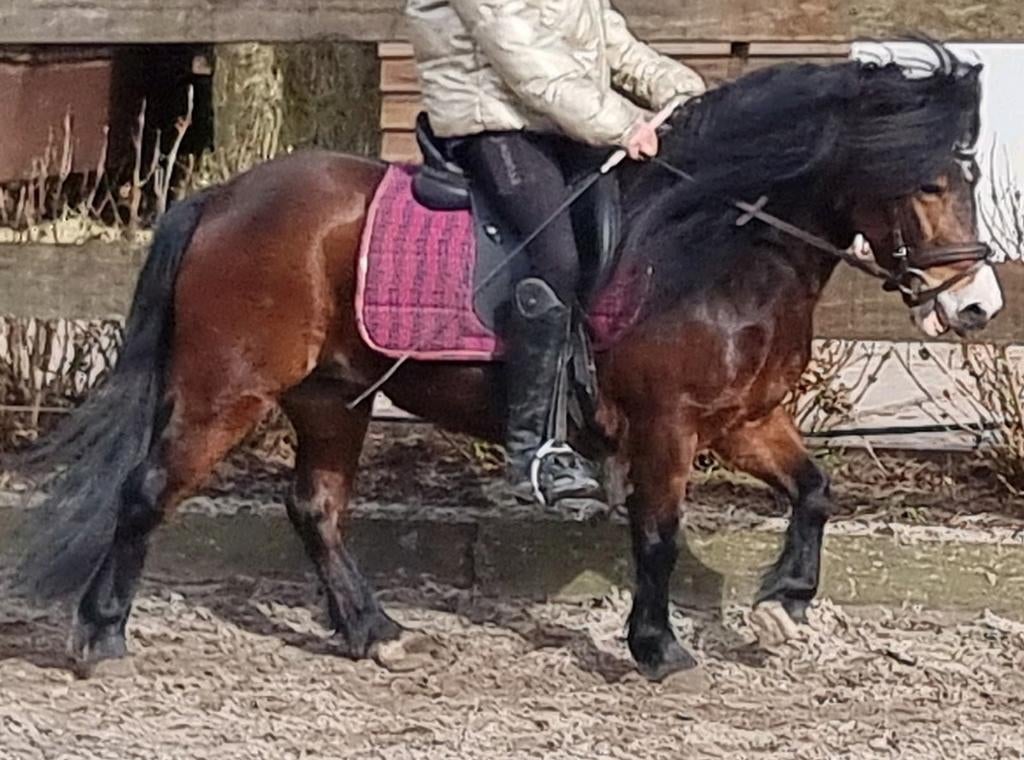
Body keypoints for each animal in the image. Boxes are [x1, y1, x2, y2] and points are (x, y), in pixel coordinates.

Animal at [8, 44, 1004, 682]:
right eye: (926, 182)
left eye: (967, 176)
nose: (975, 307)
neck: (713, 244)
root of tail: (223, 196)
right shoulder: (669, 426)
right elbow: (657, 534)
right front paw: (659, 650)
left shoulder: (745, 420)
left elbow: (816, 490)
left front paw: (785, 602)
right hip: (229, 389)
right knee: (148, 491)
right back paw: (99, 640)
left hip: (334, 397)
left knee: (314, 508)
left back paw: (378, 633)